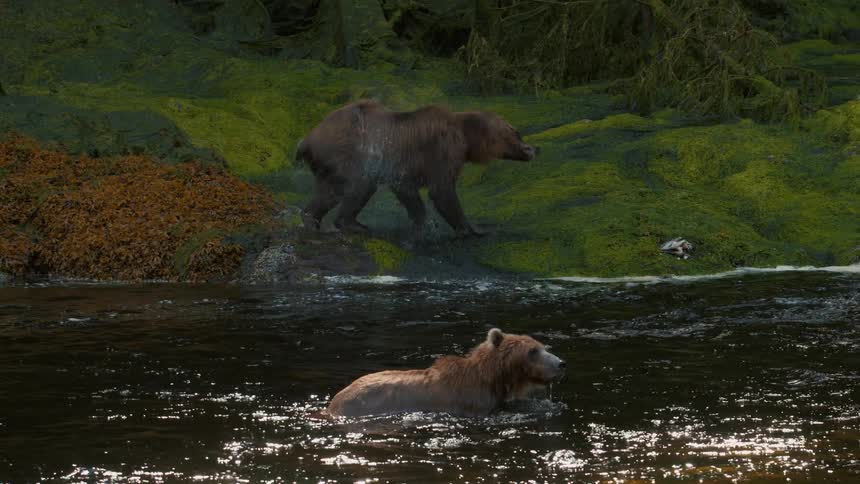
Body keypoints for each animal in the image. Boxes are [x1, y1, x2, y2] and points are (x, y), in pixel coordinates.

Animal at [294, 100, 539, 238]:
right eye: (514, 132)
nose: (531, 149)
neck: (466, 139)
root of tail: (306, 140)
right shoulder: (441, 150)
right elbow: (442, 190)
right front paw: (470, 229)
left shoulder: (405, 168)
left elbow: (408, 193)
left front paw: (425, 224)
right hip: (350, 152)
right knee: (360, 185)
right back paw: (353, 224)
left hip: (328, 164)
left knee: (328, 193)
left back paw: (313, 221)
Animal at [325, 328, 566, 418]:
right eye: (532, 351)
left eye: (543, 346)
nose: (561, 363)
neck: (493, 378)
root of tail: (334, 403)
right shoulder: (474, 401)